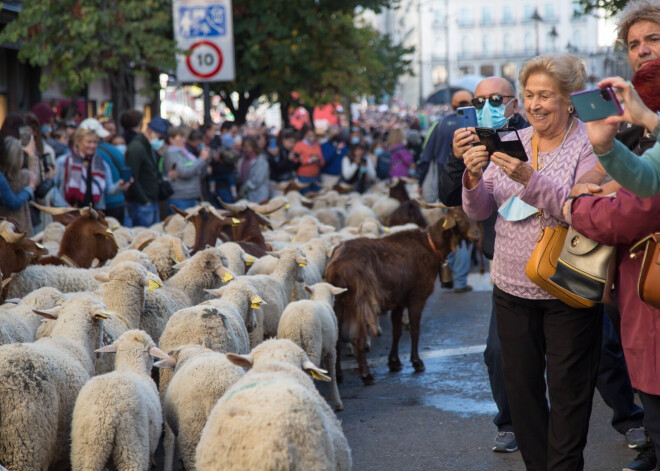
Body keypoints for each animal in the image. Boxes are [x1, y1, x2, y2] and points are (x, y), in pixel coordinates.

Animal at [278, 282, 348, 412]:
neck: (321, 299)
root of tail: (298, 321)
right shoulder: (331, 349)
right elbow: (332, 373)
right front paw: (337, 402)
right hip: (311, 343)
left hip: (290, 340)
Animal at [326, 208, 476, 386]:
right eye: (459, 217)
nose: (476, 234)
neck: (431, 247)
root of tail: (338, 267)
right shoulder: (416, 297)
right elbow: (415, 330)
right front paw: (417, 362)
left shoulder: (398, 300)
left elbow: (396, 331)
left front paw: (394, 362)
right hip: (362, 302)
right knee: (358, 338)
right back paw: (366, 375)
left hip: (338, 301)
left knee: (336, 339)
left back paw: (338, 375)